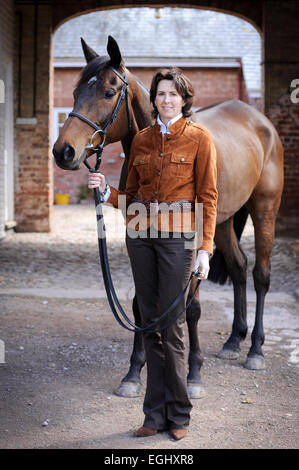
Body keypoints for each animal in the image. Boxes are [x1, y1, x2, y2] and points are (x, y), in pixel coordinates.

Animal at [52, 36, 284, 398]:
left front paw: (193, 375)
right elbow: (140, 304)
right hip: (222, 222)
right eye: (75, 93)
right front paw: (134, 373)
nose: (63, 152)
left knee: (260, 275)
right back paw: (233, 341)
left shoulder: (193, 246)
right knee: (238, 268)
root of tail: (259, 120)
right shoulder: (137, 235)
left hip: (263, 211)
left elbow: (191, 308)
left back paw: (255, 350)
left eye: (108, 92)